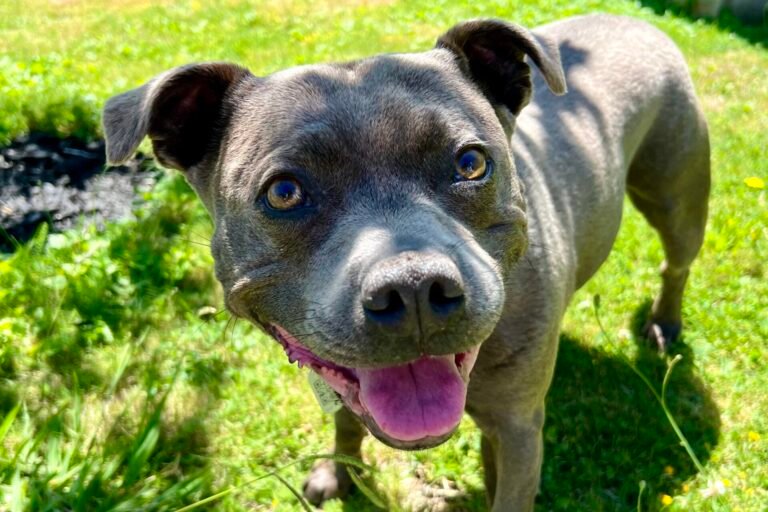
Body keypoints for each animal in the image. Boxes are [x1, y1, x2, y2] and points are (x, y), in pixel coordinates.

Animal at [105, 14, 712, 510]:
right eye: (283, 193)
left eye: (471, 163)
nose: (415, 287)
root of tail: (630, 18)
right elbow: (347, 425)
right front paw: (339, 475)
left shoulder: (519, 431)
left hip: (678, 196)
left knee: (676, 263)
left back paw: (664, 323)